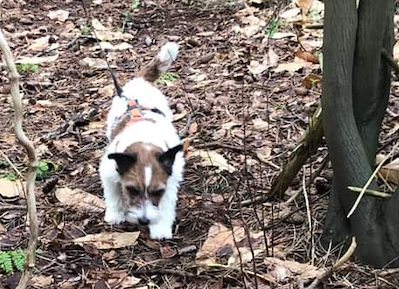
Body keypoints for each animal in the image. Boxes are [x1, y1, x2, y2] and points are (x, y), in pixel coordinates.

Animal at [99, 42, 185, 238]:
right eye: (132, 190)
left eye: (158, 191)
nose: (144, 220)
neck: (145, 140)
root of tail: (141, 81)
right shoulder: (108, 171)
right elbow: (113, 194)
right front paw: (115, 214)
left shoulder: (170, 181)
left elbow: (166, 204)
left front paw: (160, 227)